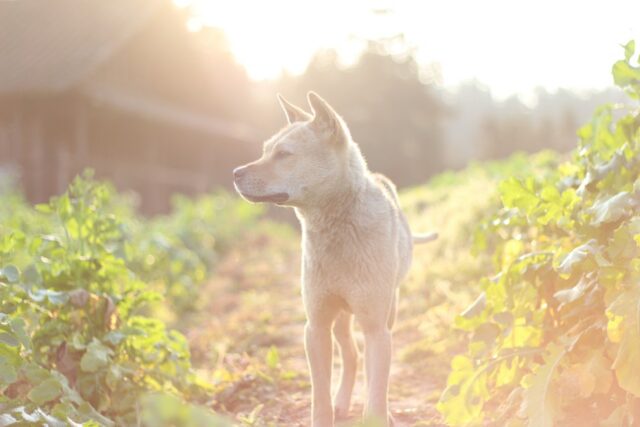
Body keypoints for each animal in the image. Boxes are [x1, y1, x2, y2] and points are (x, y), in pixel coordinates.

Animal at [232, 92, 438, 426]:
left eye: (284, 154)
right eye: (265, 151)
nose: (235, 173)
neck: (337, 227)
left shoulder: (376, 328)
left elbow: (376, 392)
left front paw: (379, 415)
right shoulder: (316, 327)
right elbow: (320, 396)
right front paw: (328, 409)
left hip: (386, 312)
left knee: (368, 362)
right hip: (341, 320)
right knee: (352, 355)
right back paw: (342, 402)